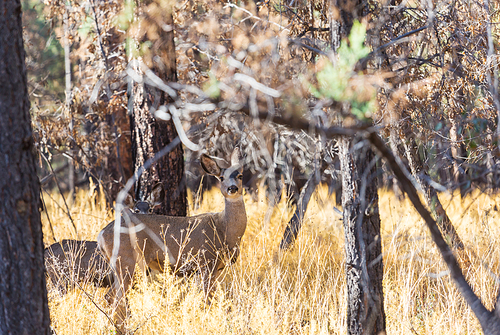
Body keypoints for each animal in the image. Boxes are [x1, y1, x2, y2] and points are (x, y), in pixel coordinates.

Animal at [97, 149, 246, 330]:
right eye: (222, 177)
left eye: (240, 175)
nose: (233, 188)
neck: (224, 229)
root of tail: (101, 234)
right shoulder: (206, 262)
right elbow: (207, 300)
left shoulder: (212, 269)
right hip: (127, 261)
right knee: (117, 298)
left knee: (111, 297)